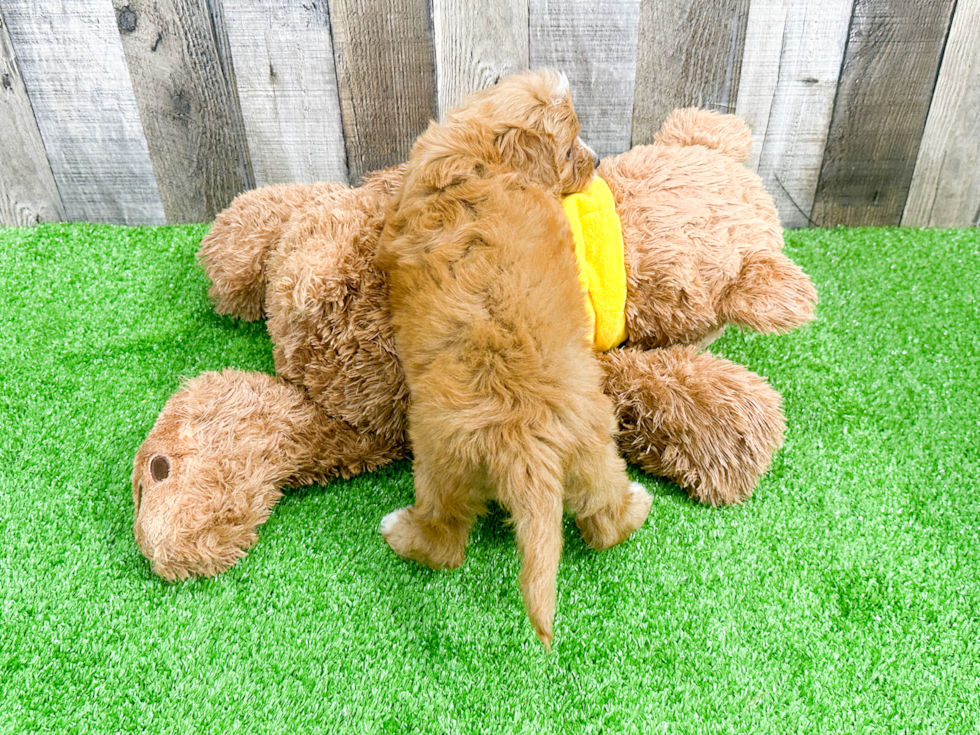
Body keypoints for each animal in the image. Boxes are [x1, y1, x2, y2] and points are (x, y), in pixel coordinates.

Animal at [376, 70, 652, 648]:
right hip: (593, 452)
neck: (483, 160)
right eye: (570, 148)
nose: (596, 161)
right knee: (604, 520)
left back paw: (399, 531)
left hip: (439, 467)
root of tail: (526, 442)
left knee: (445, 543)